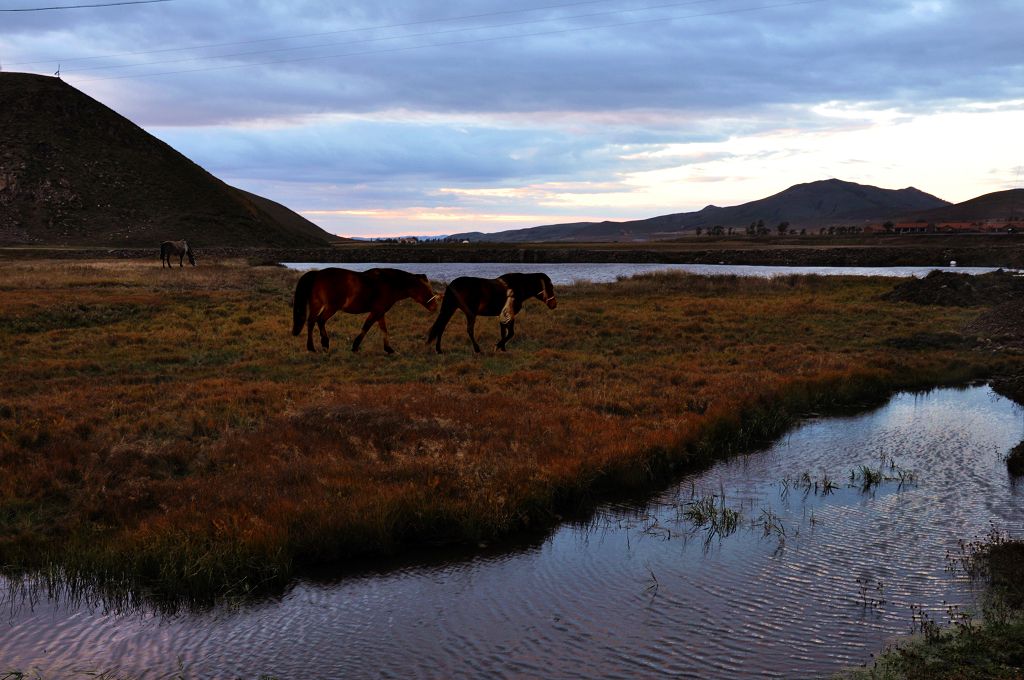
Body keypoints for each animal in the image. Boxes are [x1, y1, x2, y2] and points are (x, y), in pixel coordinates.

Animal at [290, 266, 438, 352]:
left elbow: (383, 329)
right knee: (320, 320)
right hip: (331, 307)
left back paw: (311, 347)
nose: (435, 306)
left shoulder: (380, 312)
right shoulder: (377, 311)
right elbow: (366, 327)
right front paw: (355, 346)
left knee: (311, 322)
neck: (389, 283)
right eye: (427, 289)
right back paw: (324, 344)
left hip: (317, 305)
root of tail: (317, 274)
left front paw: (388, 348)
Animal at [425, 272, 557, 352]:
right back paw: (477, 349)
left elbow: (504, 332)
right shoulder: (510, 314)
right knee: (469, 330)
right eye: (550, 287)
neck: (517, 287)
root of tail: (452, 285)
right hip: (470, 313)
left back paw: (439, 349)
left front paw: (503, 348)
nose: (554, 305)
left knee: (441, 327)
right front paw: (497, 346)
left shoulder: (503, 315)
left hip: (450, 309)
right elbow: (510, 333)